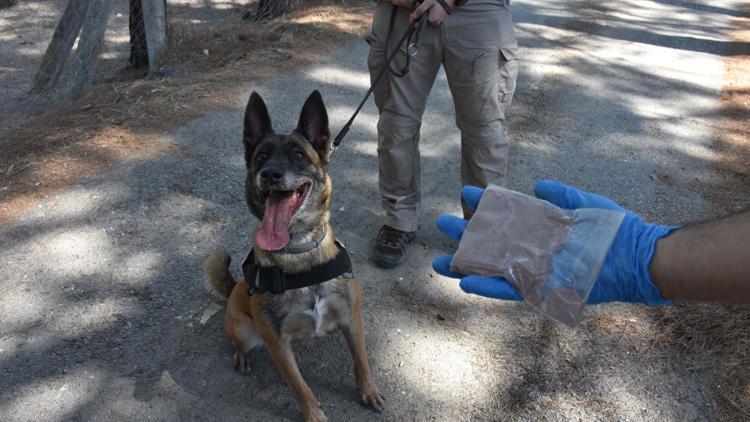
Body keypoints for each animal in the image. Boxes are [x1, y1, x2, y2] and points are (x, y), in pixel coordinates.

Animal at [204, 90, 384, 420]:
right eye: (261, 156)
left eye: (299, 155)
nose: (270, 174)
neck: (298, 249)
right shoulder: (277, 344)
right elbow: (300, 387)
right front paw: (314, 415)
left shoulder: (353, 322)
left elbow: (362, 362)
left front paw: (369, 391)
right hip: (245, 329)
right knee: (240, 343)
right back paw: (242, 357)